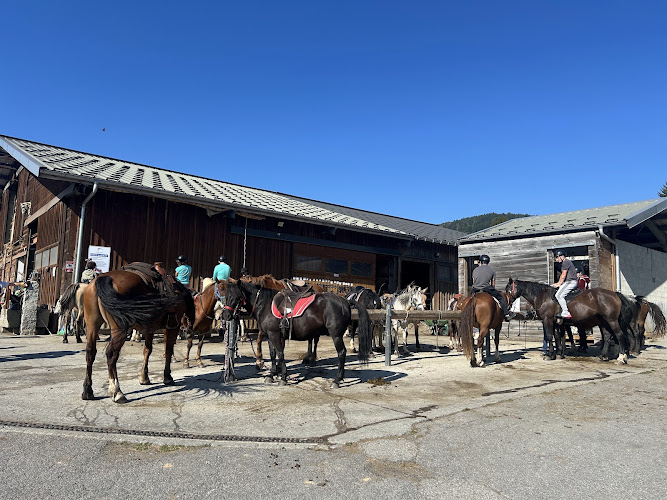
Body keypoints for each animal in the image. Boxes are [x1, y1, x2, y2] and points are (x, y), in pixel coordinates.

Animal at [81, 266, 195, 403]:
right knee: (111, 354)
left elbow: (147, 350)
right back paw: (117, 392)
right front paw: (167, 377)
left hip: (92, 325)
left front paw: (144, 377)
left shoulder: (149, 329)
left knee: (90, 353)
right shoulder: (172, 327)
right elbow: (168, 351)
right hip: (120, 329)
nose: (190, 333)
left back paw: (88, 391)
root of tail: (103, 278)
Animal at [222, 279, 371, 388]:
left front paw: (283, 377)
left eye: (236, 297)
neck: (264, 305)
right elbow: (273, 354)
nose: (226, 315)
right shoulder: (269, 336)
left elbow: (280, 354)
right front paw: (271, 375)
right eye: (226, 296)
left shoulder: (275, 335)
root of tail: (345, 301)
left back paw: (337, 380)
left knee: (341, 353)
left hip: (336, 335)